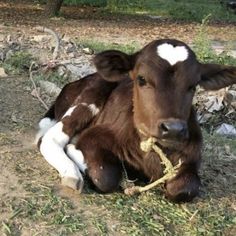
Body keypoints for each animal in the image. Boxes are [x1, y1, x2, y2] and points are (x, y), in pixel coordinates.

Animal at [37, 39, 236, 203]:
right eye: (141, 79)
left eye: (193, 86)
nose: (173, 128)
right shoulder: (94, 136)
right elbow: (105, 177)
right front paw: (75, 151)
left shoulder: (192, 157)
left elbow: (185, 188)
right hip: (92, 94)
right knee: (51, 138)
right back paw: (71, 173)